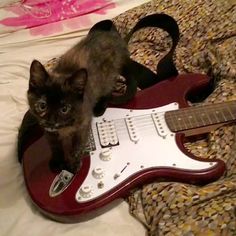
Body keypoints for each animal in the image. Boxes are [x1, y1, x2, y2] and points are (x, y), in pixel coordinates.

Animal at [27, 29, 136, 173]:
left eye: (64, 109)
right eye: (42, 106)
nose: (51, 120)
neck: (64, 127)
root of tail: (116, 38)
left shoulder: (83, 123)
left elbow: (77, 145)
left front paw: (73, 163)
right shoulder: (49, 131)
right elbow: (55, 145)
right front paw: (57, 161)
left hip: (108, 77)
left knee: (108, 89)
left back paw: (100, 107)